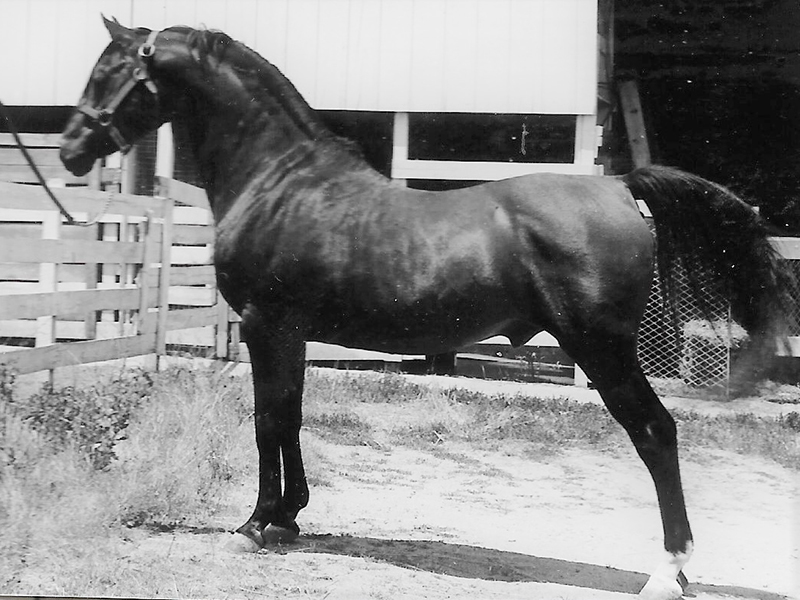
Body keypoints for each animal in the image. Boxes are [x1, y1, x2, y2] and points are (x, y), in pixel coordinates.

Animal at [60, 18, 793, 600]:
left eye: (109, 73)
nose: (69, 150)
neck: (280, 182)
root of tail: (618, 186)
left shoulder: (269, 326)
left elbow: (268, 420)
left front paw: (256, 523)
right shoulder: (290, 334)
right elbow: (291, 415)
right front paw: (291, 516)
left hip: (603, 351)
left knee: (656, 434)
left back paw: (667, 571)